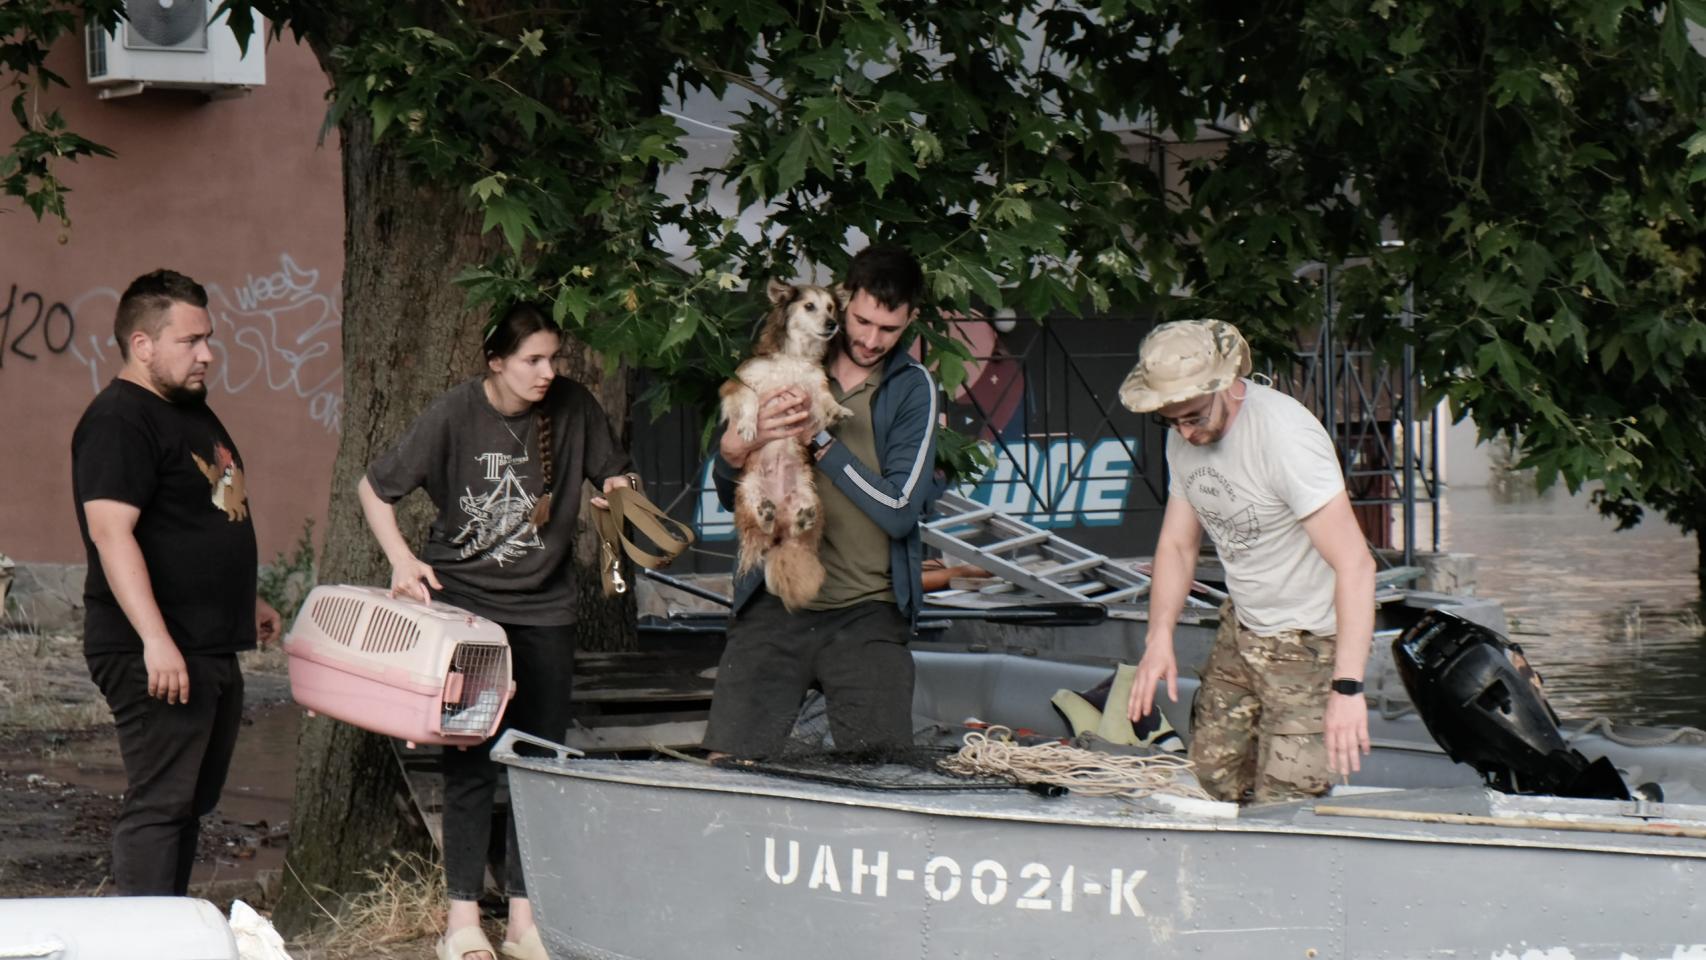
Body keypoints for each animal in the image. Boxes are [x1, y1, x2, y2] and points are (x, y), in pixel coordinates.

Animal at [719, 277, 853, 607]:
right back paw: (766, 516)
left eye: (831, 308)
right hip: (747, 495)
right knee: (761, 530)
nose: (832, 324)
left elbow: (825, 401)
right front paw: (748, 425)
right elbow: (751, 398)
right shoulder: (734, 385)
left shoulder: (815, 387)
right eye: (809, 306)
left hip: (810, 496)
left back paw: (799, 521)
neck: (795, 357)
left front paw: (837, 411)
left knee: (794, 530)